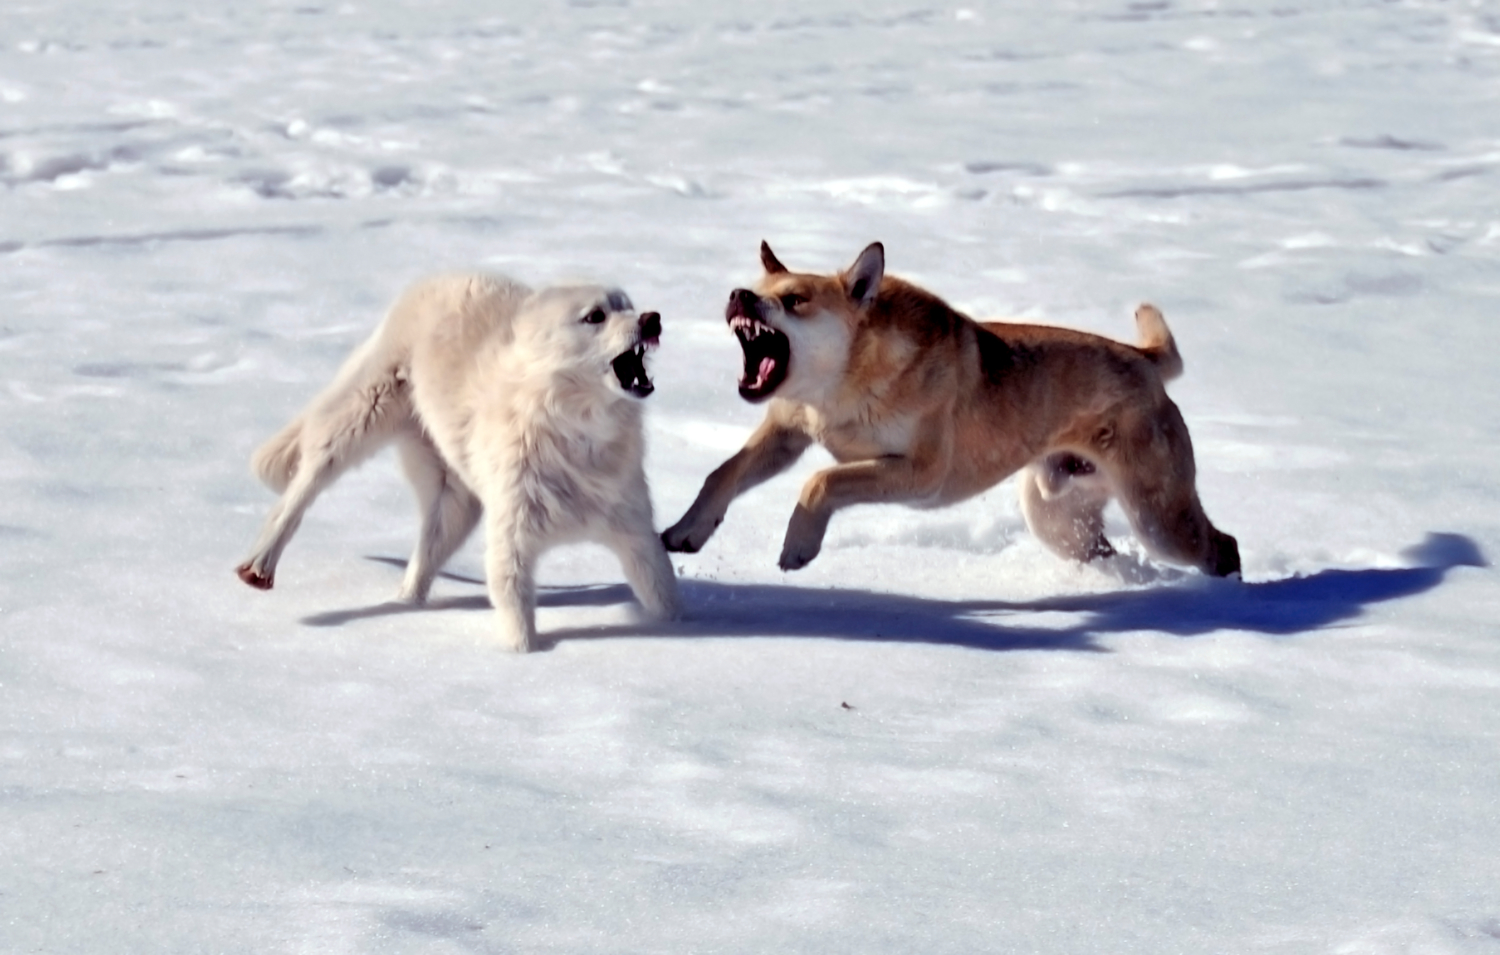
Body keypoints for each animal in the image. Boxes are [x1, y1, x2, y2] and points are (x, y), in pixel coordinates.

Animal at [238, 271, 681, 650]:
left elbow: (663, 594)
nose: (653, 319)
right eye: (595, 316)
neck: (576, 430)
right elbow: (517, 620)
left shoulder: (636, 533)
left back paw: (405, 605)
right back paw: (261, 564)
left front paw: (678, 632)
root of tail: (438, 277)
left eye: (627, 305)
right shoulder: (510, 543)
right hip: (357, 419)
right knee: (301, 490)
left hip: (455, 503)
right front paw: (527, 658)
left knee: (422, 562)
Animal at [660, 241, 1242, 578]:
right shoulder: (786, 431)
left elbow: (822, 481)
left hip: (1155, 511)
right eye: (759, 287)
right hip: (1055, 511)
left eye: (796, 299)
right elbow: (722, 474)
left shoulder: (922, 472)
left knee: (1223, 547)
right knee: (1101, 550)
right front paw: (685, 531)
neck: (845, 383)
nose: (738, 295)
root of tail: (1143, 359)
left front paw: (798, 546)